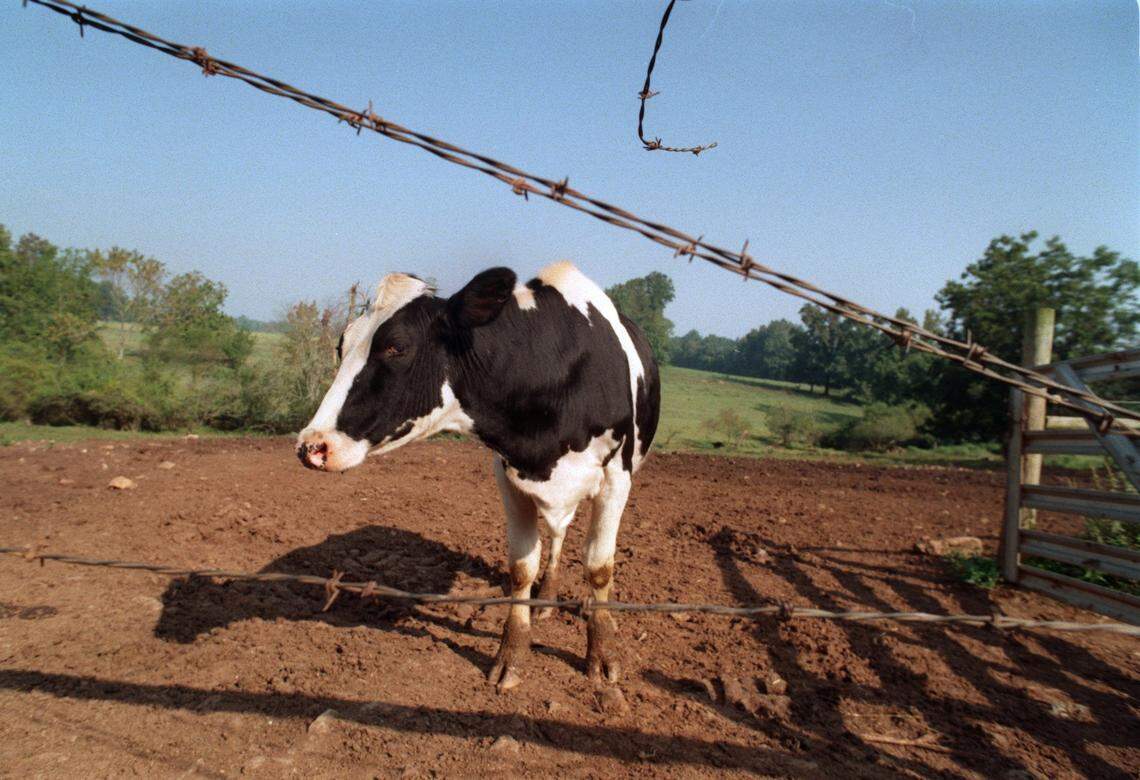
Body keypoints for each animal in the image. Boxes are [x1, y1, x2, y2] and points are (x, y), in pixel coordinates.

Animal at [296, 261, 661, 692]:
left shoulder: (617, 478)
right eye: (341, 345)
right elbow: (522, 567)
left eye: (396, 347)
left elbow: (599, 567)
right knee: (558, 535)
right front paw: (512, 656)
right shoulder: (509, 476)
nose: (312, 446)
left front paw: (602, 655)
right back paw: (548, 596)